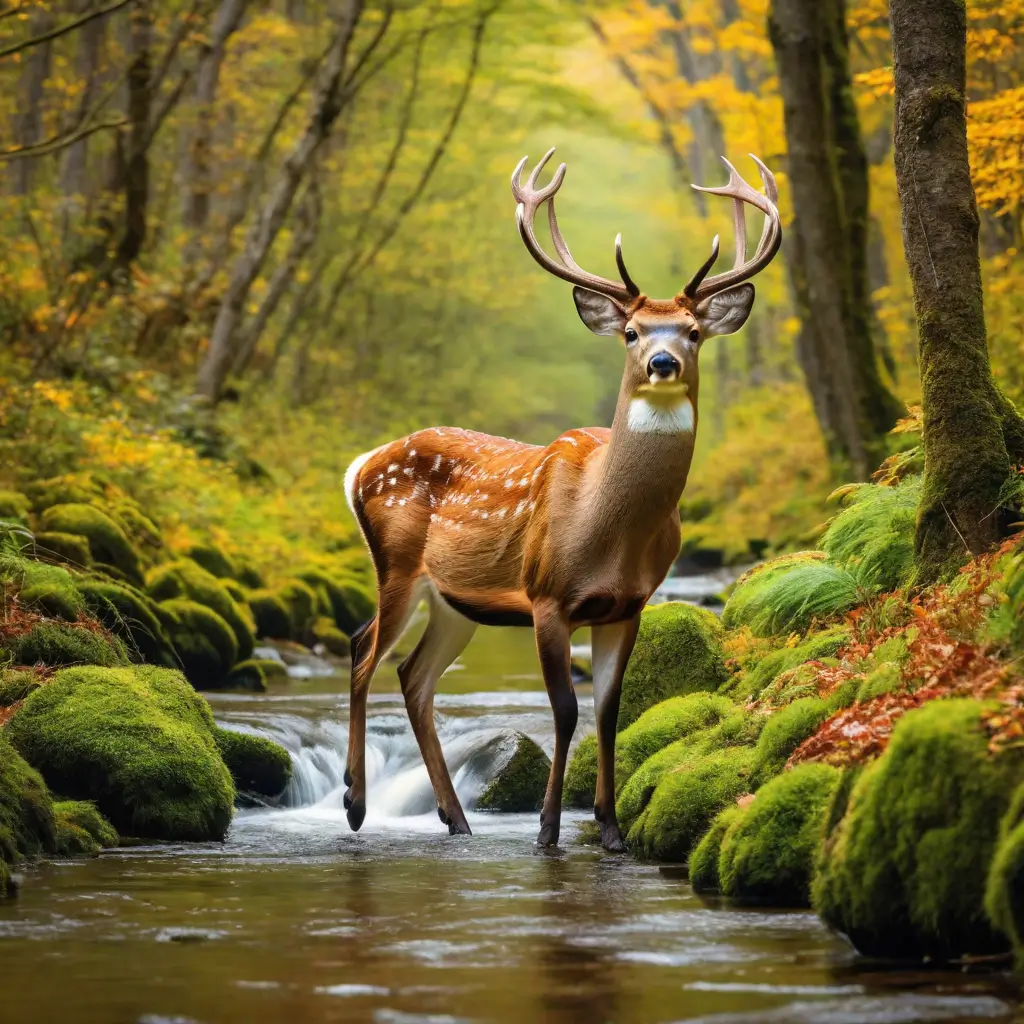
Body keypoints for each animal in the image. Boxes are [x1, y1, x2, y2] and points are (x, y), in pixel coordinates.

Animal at [342, 149, 781, 850]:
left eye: (692, 331)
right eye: (630, 331)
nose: (661, 363)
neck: (608, 531)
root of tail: (361, 465)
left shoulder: (628, 605)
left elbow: (609, 711)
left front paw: (610, 828)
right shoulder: (547, 596)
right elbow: (566, 710)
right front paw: (548, 829)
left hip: (455, 600)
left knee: (412, 675)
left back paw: (456, 817)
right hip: (398, 564)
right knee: (363, 652)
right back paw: (357, 803)